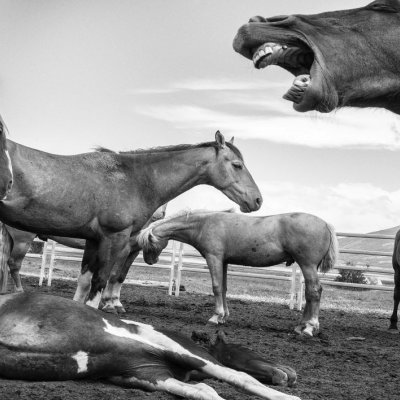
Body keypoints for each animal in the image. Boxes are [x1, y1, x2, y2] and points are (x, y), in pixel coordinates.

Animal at [0, 290, 300, 400]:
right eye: (247, 349)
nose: (289, 374)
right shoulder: (183, 352)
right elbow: (240, 379)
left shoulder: (147, 374)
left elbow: (203, 391)